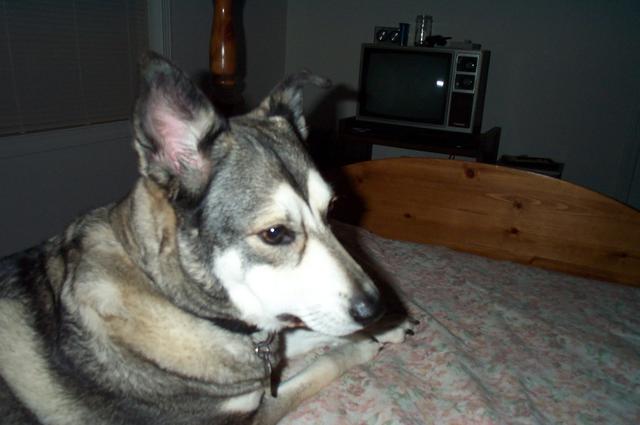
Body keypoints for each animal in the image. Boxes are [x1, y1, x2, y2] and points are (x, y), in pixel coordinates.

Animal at [0, 52, 411, 424]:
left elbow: (298, 334)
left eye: (331, 209)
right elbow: (320, 363)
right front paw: (365, 344)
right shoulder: (247, 415)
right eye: (275, 233)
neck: (169, 295)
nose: (375, 308)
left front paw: (389, 327)